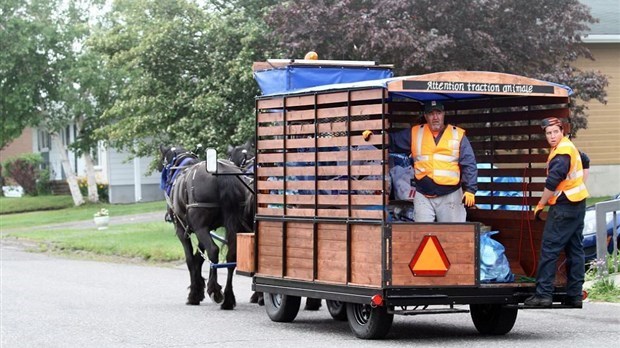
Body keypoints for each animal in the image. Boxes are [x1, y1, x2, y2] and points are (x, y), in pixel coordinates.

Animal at [162, 144, 256, 310]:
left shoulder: (183, 230)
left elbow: (190, 259)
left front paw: (194, 294)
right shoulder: (205, 229)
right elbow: (198, 258)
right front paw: (198, 289)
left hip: (200, 227)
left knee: (213, 251)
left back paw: (215, 291)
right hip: (231, 224)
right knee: (231, 256)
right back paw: (228, 298)